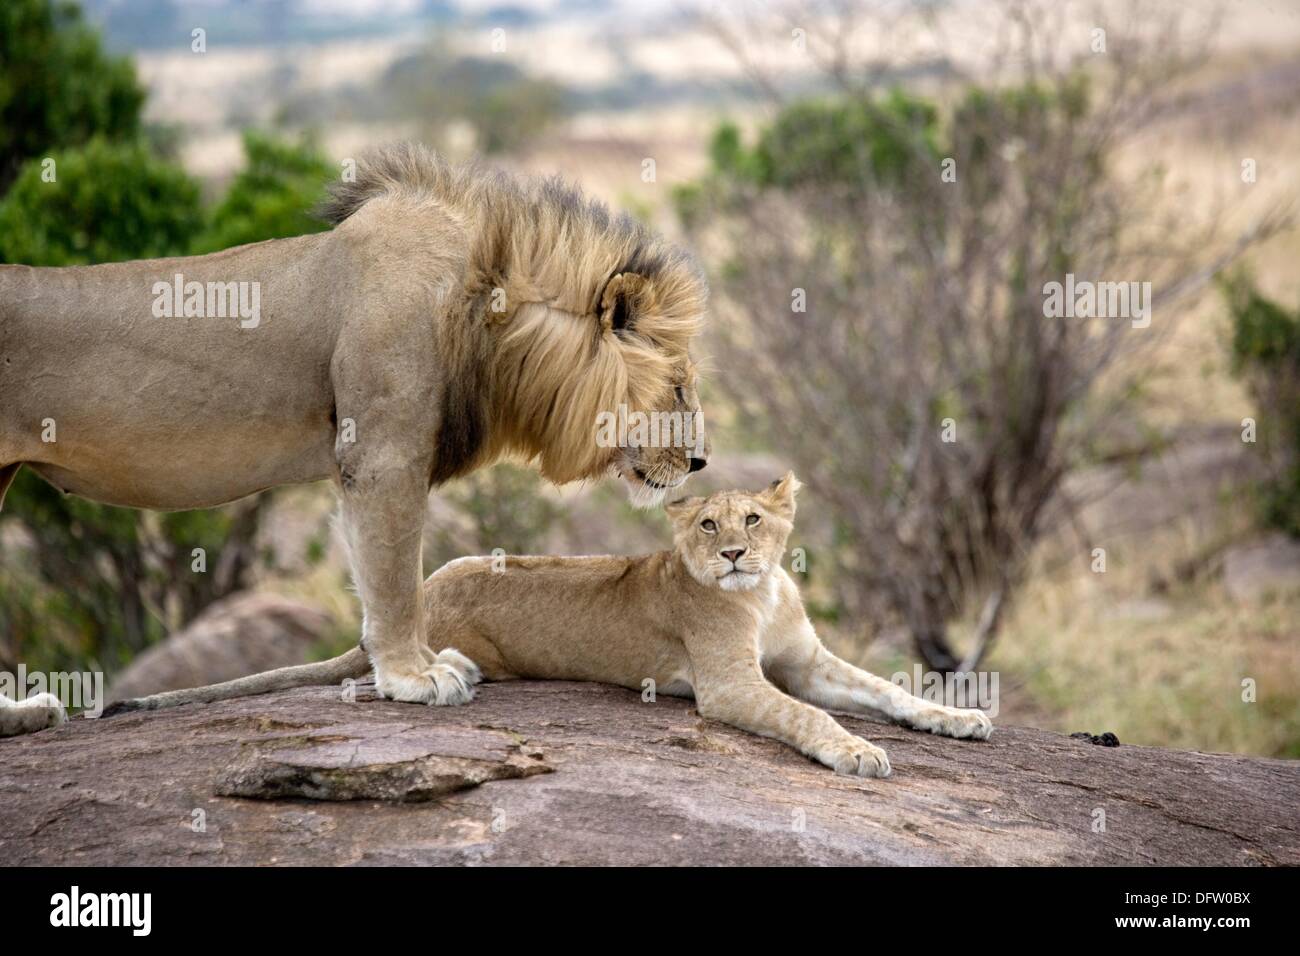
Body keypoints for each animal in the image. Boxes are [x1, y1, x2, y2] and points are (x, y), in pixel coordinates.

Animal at [0, 143, 709, 710]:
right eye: (678, 387)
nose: (700, 462)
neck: (490, 314)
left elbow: (391, 579)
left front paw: (424, 664)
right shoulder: (382, 452)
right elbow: (395, 578)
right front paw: (413, 678)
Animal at [105, 475, 991, 777]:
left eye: (752, 519)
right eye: (706, 524)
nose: (736, 553)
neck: (764, 591)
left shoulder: (807, 660)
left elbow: (887, 687)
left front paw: (961, 718)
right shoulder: (729, 685)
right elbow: (807, 716)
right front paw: (857, 752)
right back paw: (445, 674)